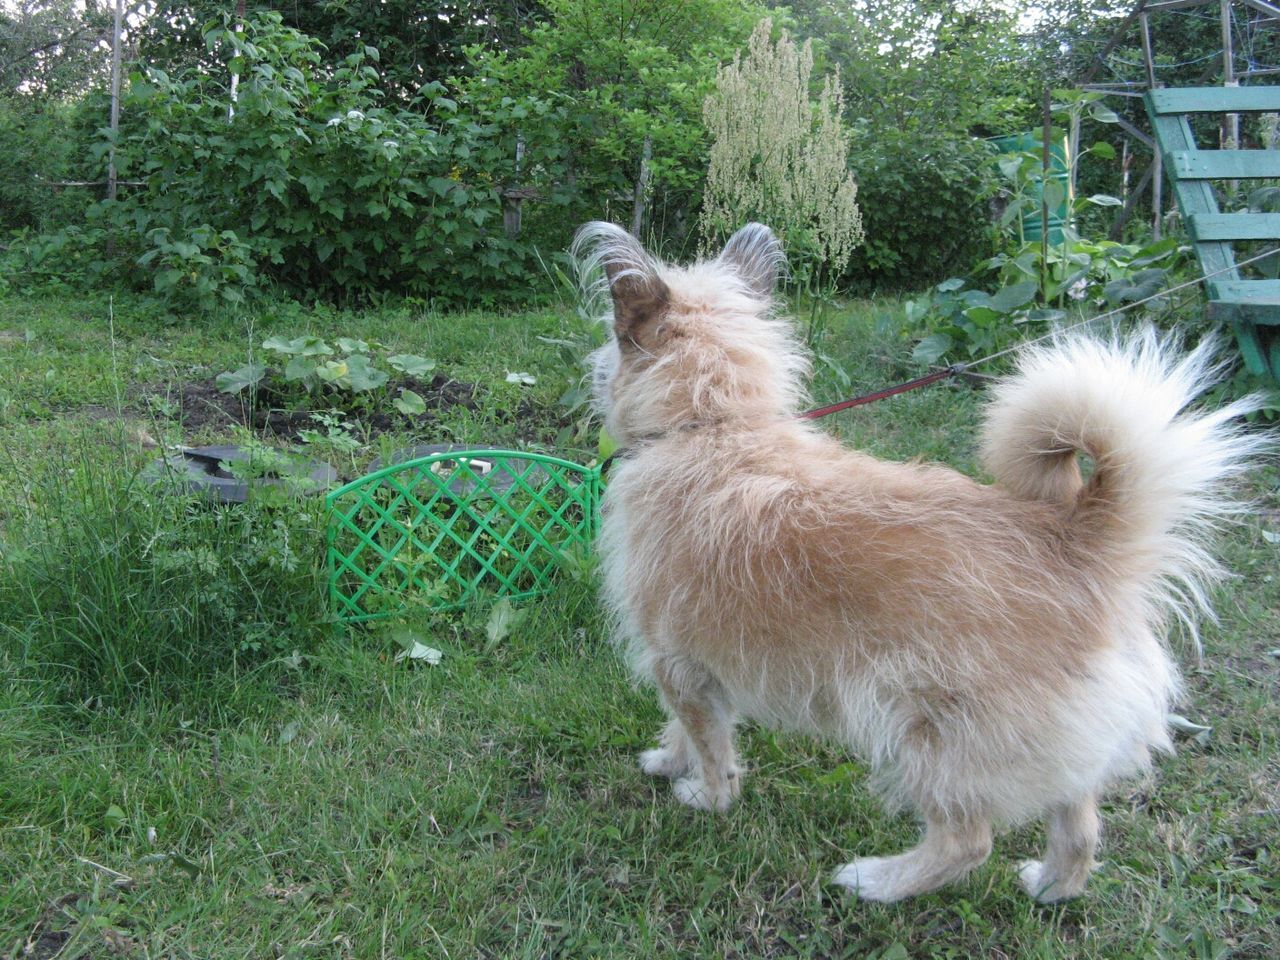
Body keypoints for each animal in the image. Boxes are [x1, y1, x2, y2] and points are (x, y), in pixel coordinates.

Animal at [581, 221, 1269, 906]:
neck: (717, 426)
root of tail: (1076, 538)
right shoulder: (694, 665)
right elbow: (685, 726)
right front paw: (670, 760)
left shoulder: (677, 662)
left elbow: (707, 739)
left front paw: (707, 794)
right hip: (1046, 745)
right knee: (1079, 825)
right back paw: (1051, 885)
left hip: (926, 732)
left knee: (968, 842)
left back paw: (881, 881)